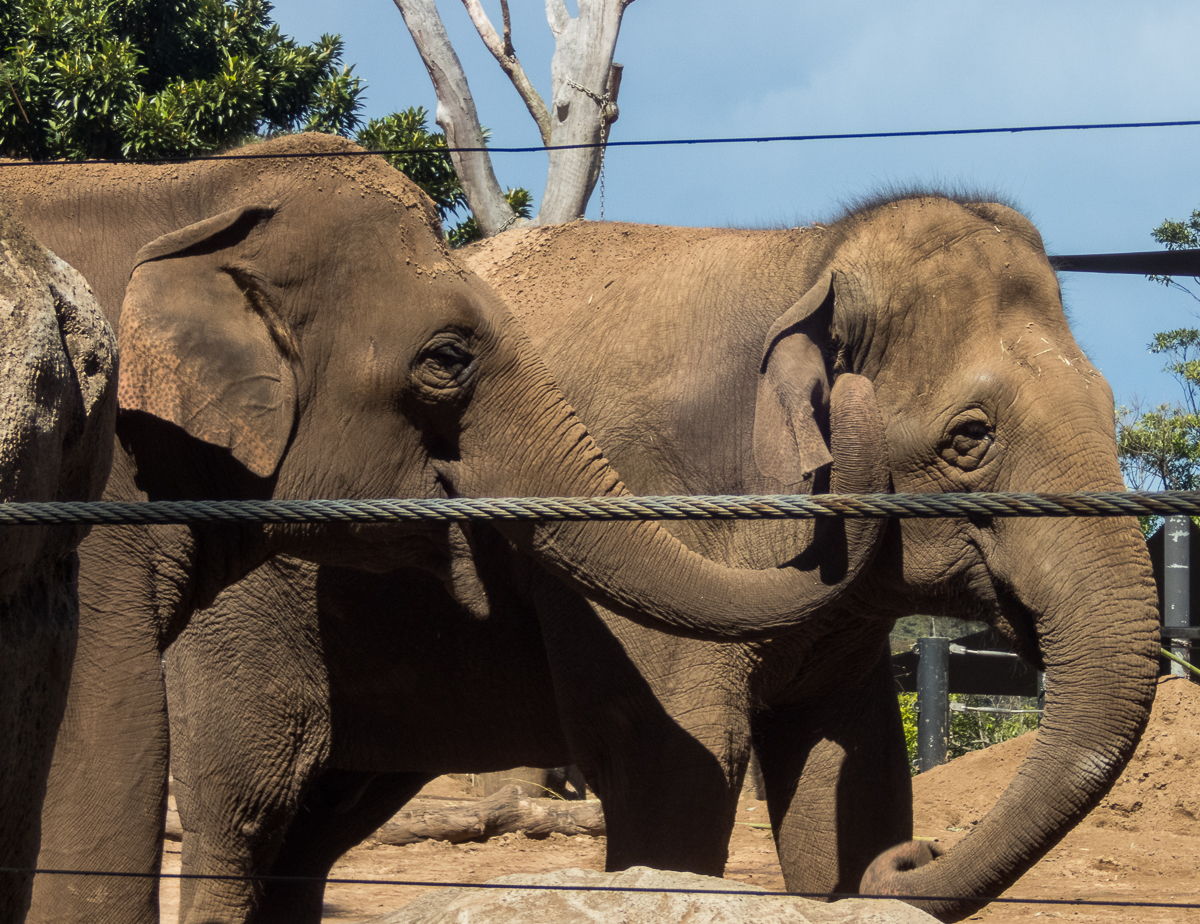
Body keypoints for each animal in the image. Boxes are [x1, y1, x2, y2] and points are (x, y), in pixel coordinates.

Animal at [159, 190, 1161, 916]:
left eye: (1114, 409)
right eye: (970, 437)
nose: (915, 859)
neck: (802, 258)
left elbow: (851, 772)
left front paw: (865, 860)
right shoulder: (648, 503)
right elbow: (675, 768)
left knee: (316, 829)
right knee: (244, 809)